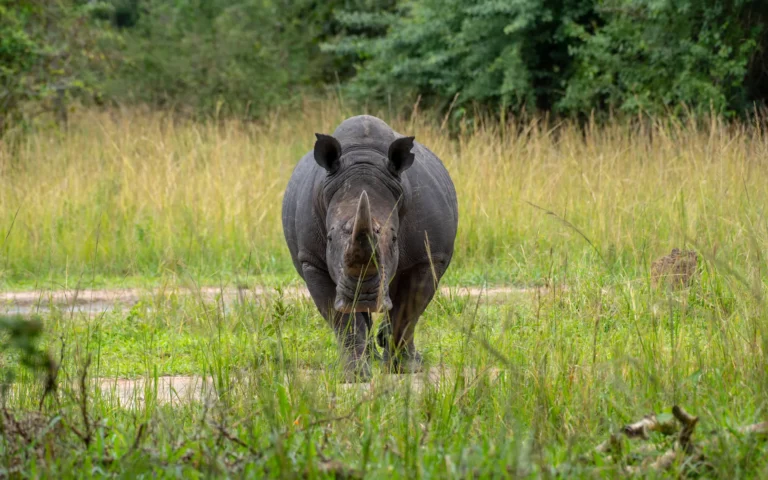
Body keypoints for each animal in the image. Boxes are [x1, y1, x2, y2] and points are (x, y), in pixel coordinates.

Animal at [281, 115, 458, 381]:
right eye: (329, 238)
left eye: (394, 239)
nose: (363, 295)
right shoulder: (312, 260)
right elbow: (342, 320)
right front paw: (353, 375)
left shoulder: (427, 258)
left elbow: (407, 311)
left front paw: (403, 369)